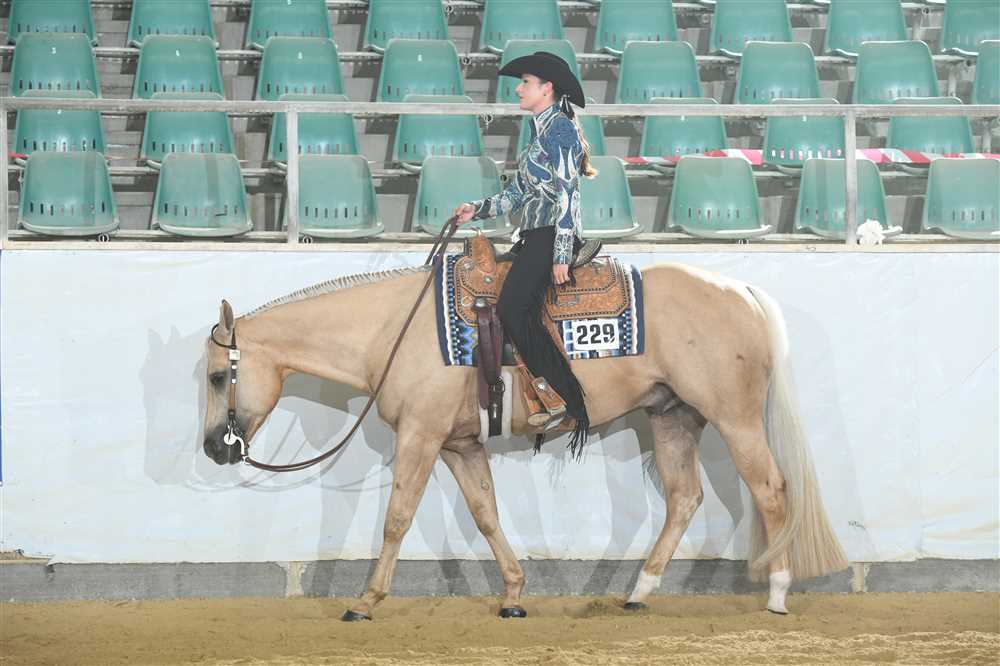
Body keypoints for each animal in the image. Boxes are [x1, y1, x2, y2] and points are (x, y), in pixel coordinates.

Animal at [201, 258, 848, 621]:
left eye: (215, 377)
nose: (214, 448)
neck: (392, 330)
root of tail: (740, 290)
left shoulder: (421, 435)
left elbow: (397, 517)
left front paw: (366, 601)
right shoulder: (459, 445)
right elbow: (485, 513)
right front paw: (513, 594)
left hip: (735, 418)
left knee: (770, 491)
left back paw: (777, 594)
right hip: (672, 417)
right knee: (685, 498)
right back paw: (639, 592)